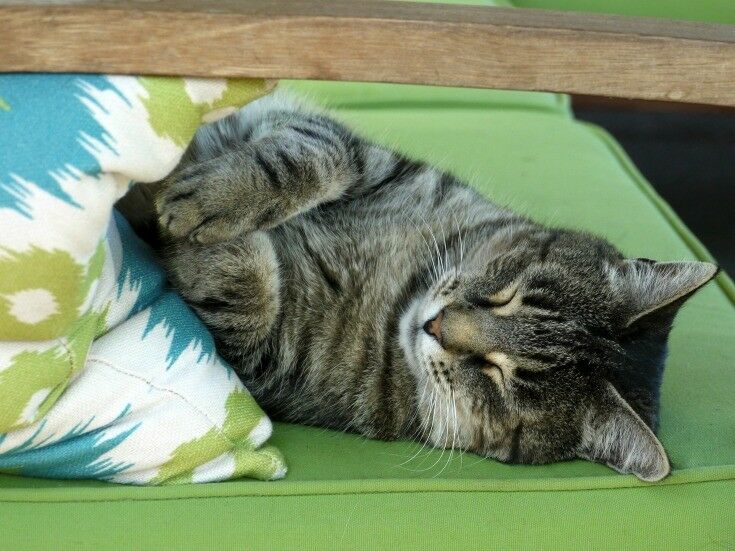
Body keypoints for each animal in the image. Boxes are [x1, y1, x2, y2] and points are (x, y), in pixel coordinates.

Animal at [151, 89, 720, 478]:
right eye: (508, 295)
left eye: (497, 376)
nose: (437, 325)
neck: (403, 286)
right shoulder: (364, 155)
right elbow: (310, 154)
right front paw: (214, 193)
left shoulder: (267, 361)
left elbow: (245, 295)